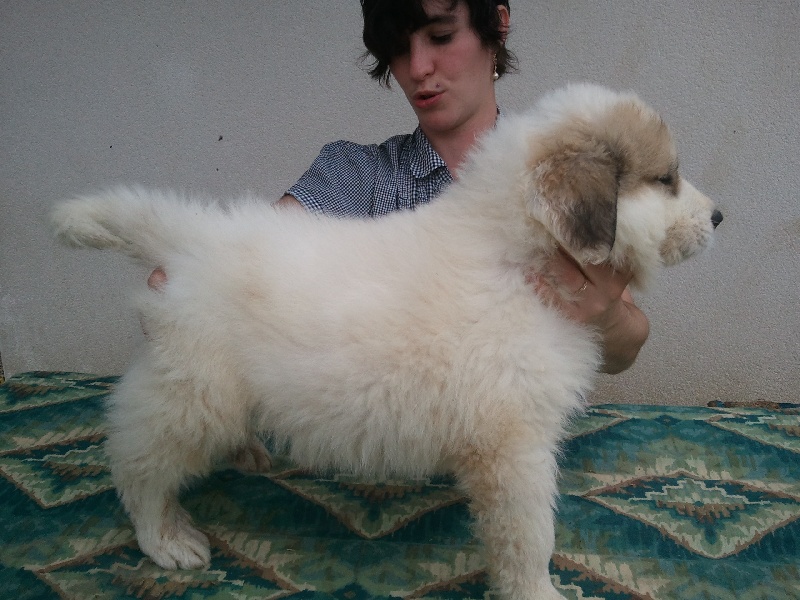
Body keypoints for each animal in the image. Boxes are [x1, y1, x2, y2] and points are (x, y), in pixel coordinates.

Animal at [52, 84, 721, 600]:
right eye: (666, 179)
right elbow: (530, 534)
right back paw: (167, 538)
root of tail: (192, 238)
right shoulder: (515, 445)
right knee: (136, 463)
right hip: (194, 394)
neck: (515, 255)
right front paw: (538, 592)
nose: (719, 218)